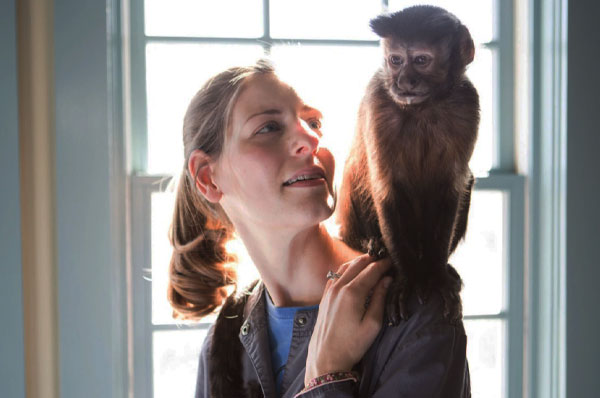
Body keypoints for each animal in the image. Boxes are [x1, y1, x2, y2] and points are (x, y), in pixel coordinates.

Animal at [338, 5, 478, 326]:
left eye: (421, 61)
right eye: (396, 60)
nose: (404, 81)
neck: (423, 107)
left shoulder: (467, 104)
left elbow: (451, 188)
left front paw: (436, 276)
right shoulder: (378, 99)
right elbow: (388, 189)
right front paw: (406, 278)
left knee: (468, 180)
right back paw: (372, 245)